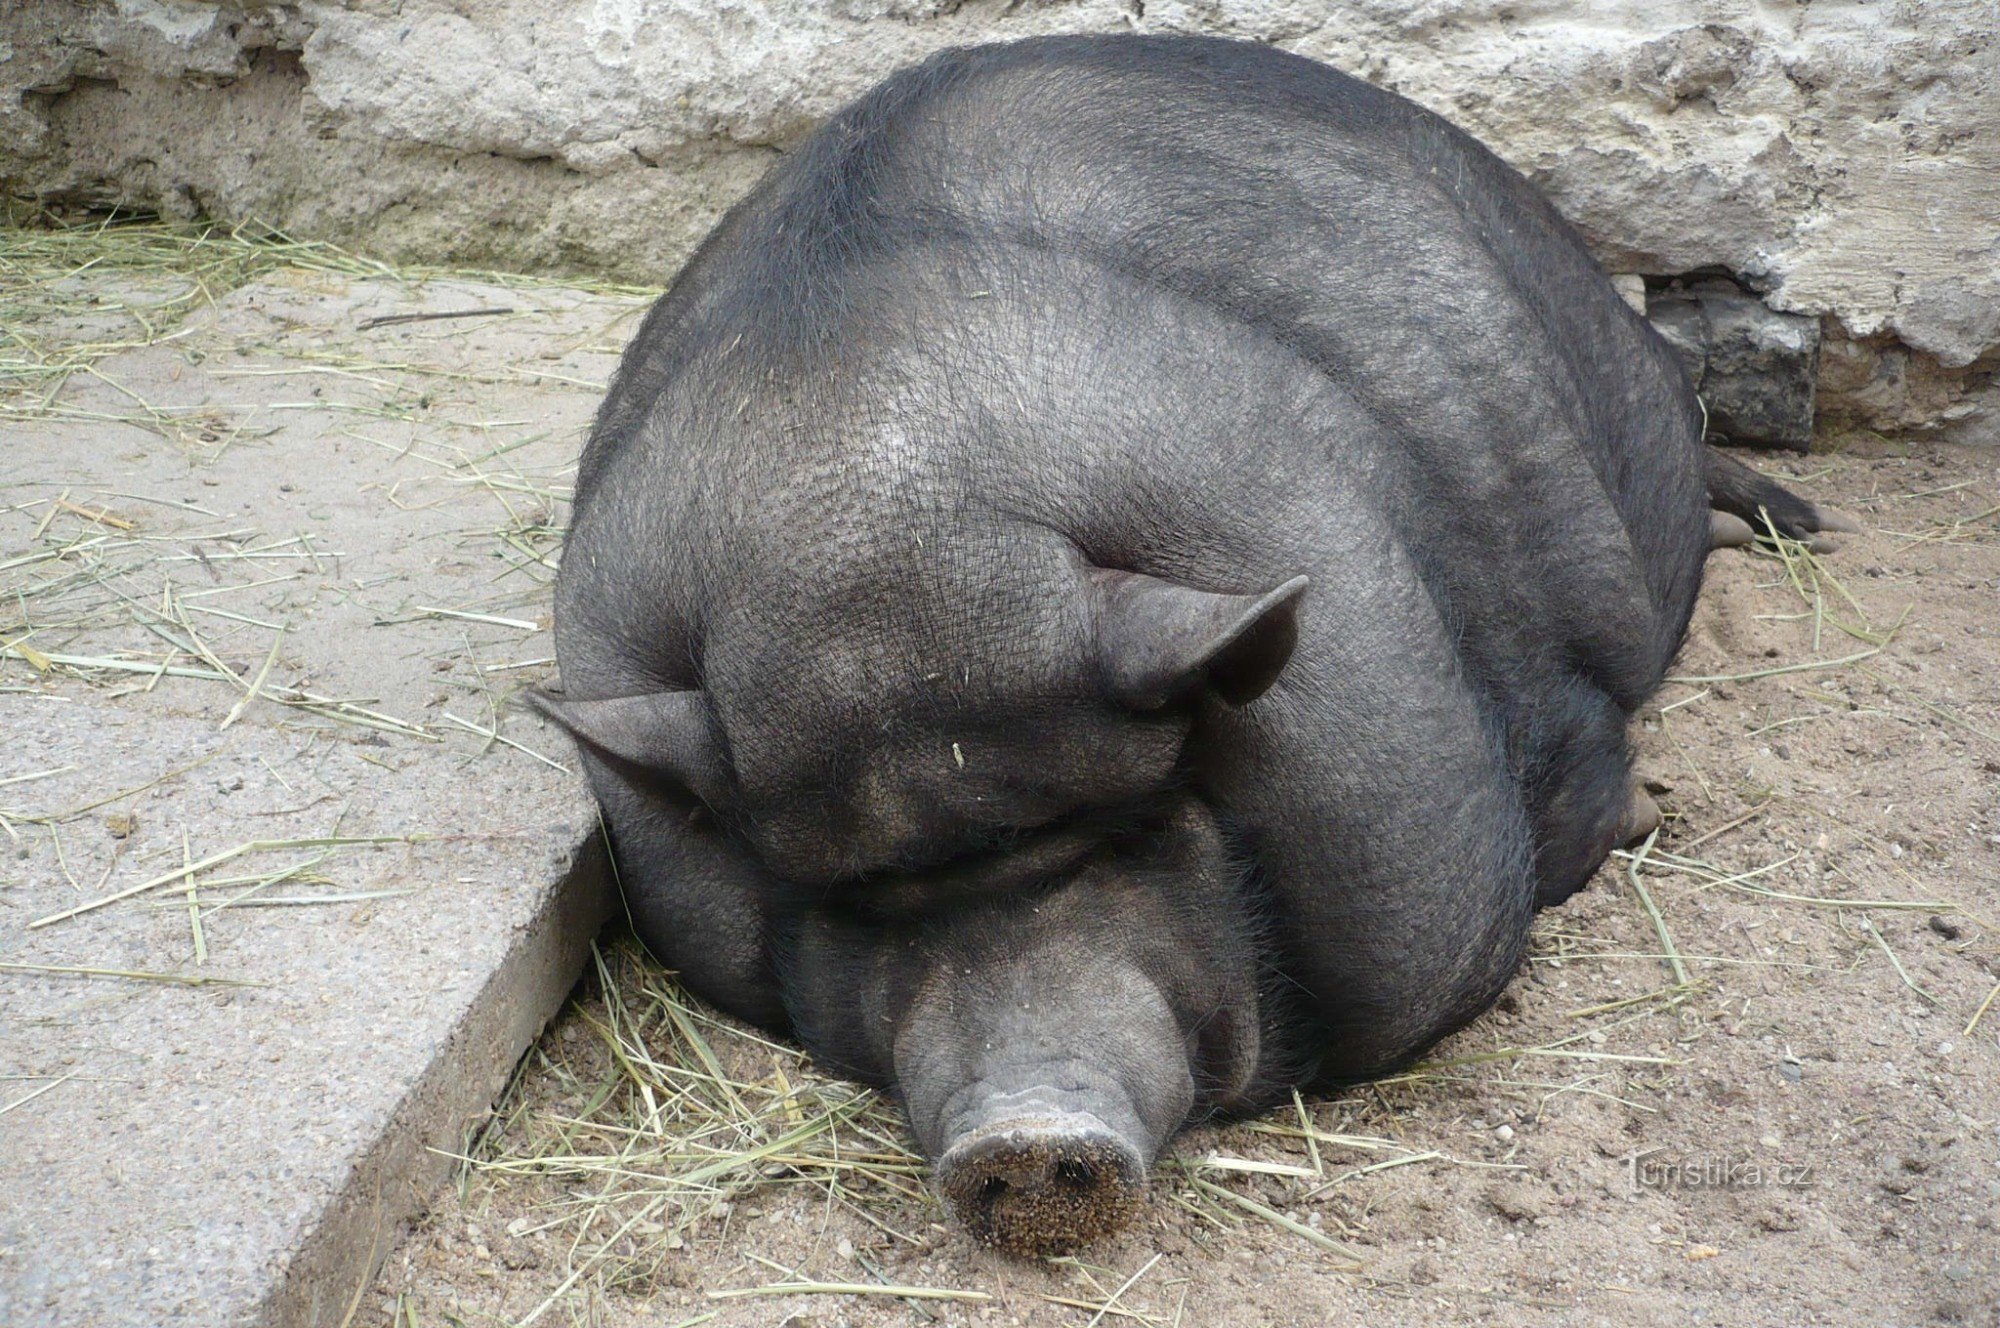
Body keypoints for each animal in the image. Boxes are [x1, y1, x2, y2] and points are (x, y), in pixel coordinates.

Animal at [536, 33, 1856, 1256]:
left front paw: (1650, 807)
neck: (882, 505)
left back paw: (1799, 527)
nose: (1021, 1135)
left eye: (1132, 825)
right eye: (854, 899)